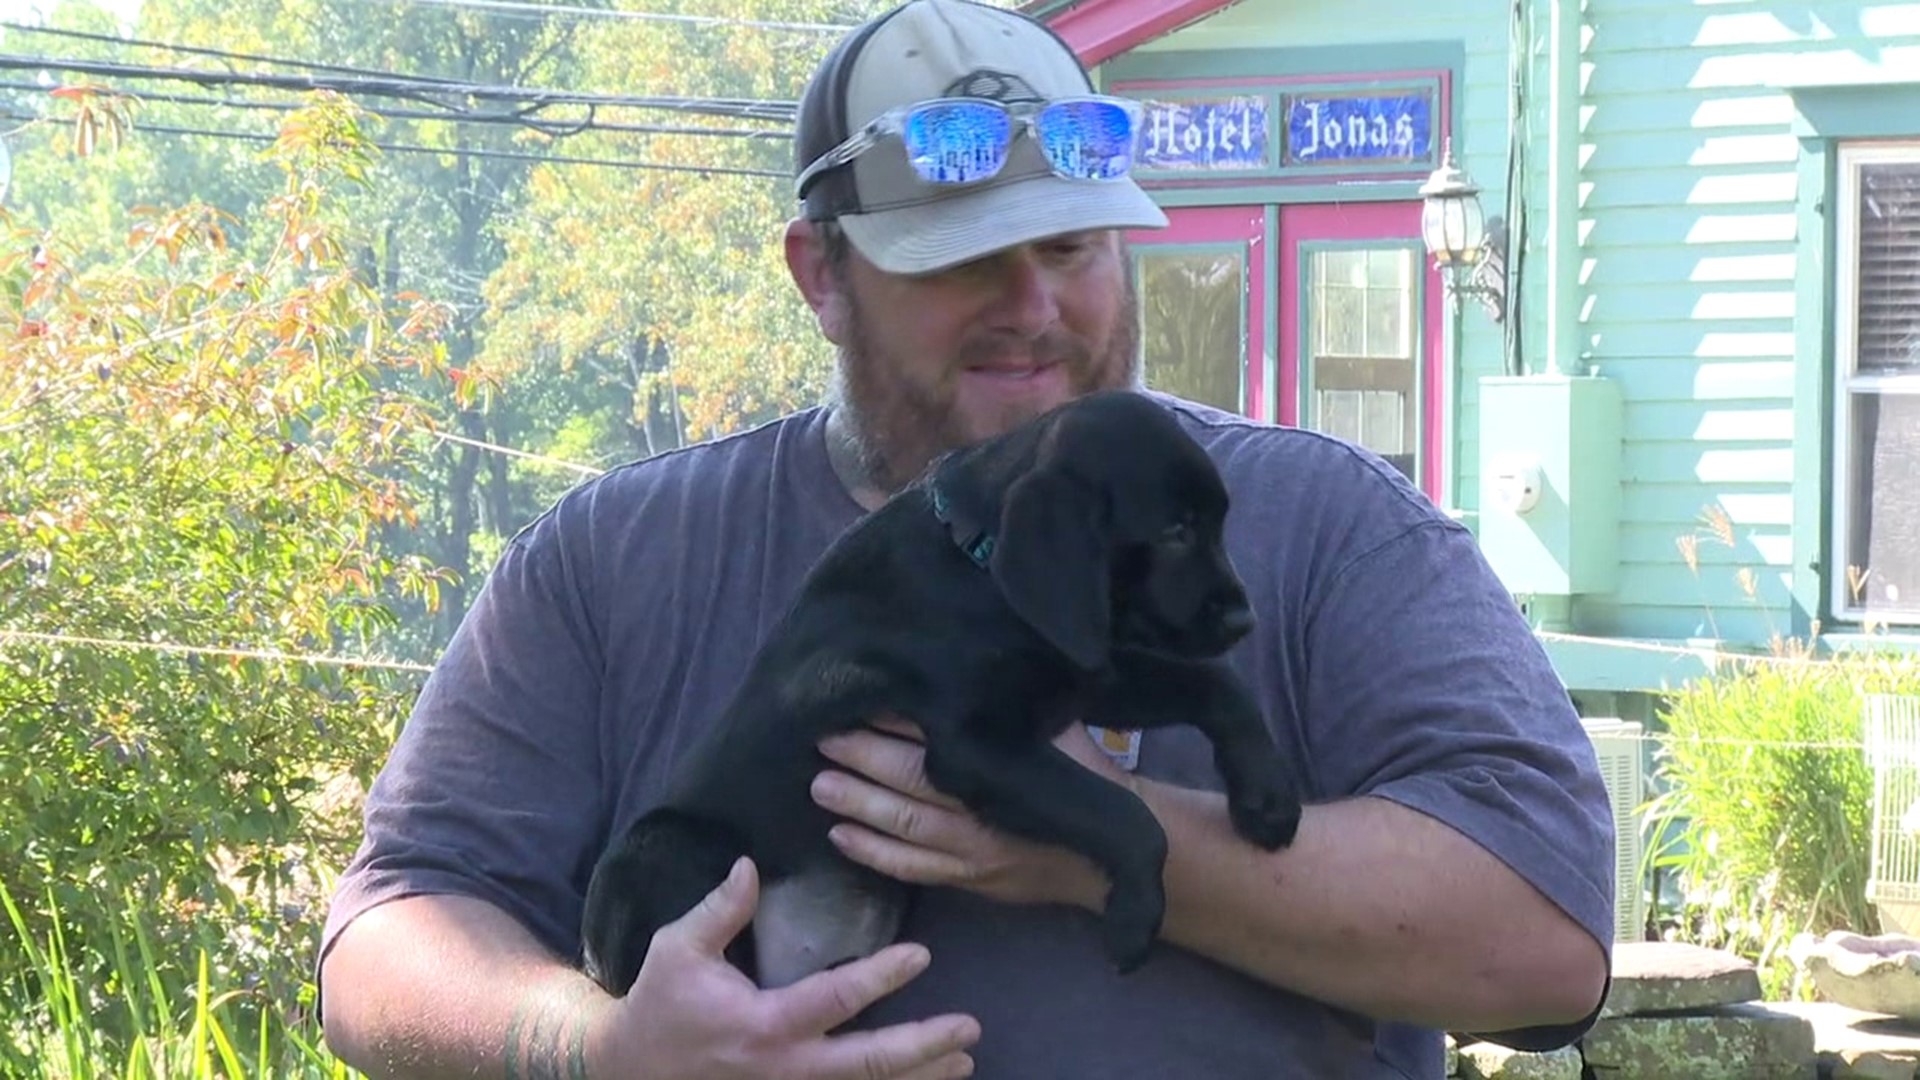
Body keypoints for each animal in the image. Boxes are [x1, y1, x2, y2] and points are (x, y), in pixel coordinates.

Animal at [579, 386, 1305, 991]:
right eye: (1176, 531)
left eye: (1215, 523)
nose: (1243, 620)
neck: (977, 565)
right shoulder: (974, 744)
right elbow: (1124, 814)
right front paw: (1134, 917)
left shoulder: (1082, 671)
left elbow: (1213, 685)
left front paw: (1268, 798)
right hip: (672, 848)